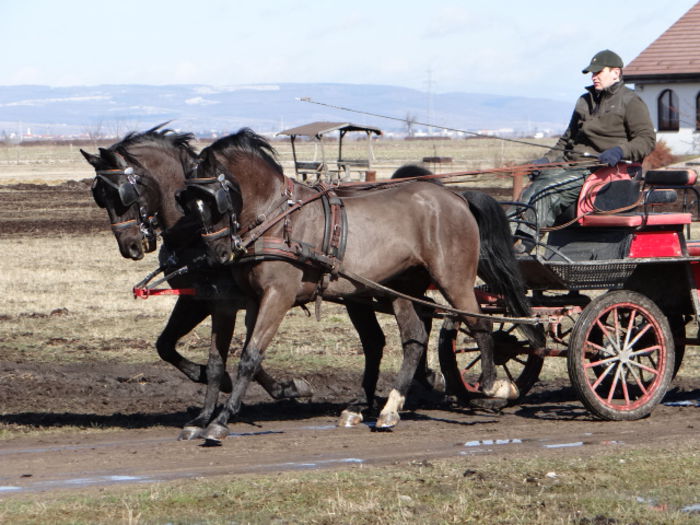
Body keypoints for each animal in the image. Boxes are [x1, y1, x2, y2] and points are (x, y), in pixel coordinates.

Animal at [79, 128, 314, 438]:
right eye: (100, 197)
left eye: (123, 194)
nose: (129, 246)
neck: (192, 232)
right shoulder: (195, 298)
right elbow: (165, 345)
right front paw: (277, 387)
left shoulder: (221, 302)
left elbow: (236, 352)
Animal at [180, 128, 540, 442]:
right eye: (188, 203)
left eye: (216, 199)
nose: (215, 253)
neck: (278, 218)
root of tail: (456, 196)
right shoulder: (255, 299)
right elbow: (228, 358)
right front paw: (205, 418)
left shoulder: (278, 296)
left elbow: (250, 356)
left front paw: (220, 422)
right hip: (404, 288)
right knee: (414, 338)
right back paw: (390, 408)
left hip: (454, 278)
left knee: (479, 324)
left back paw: (493, 385)